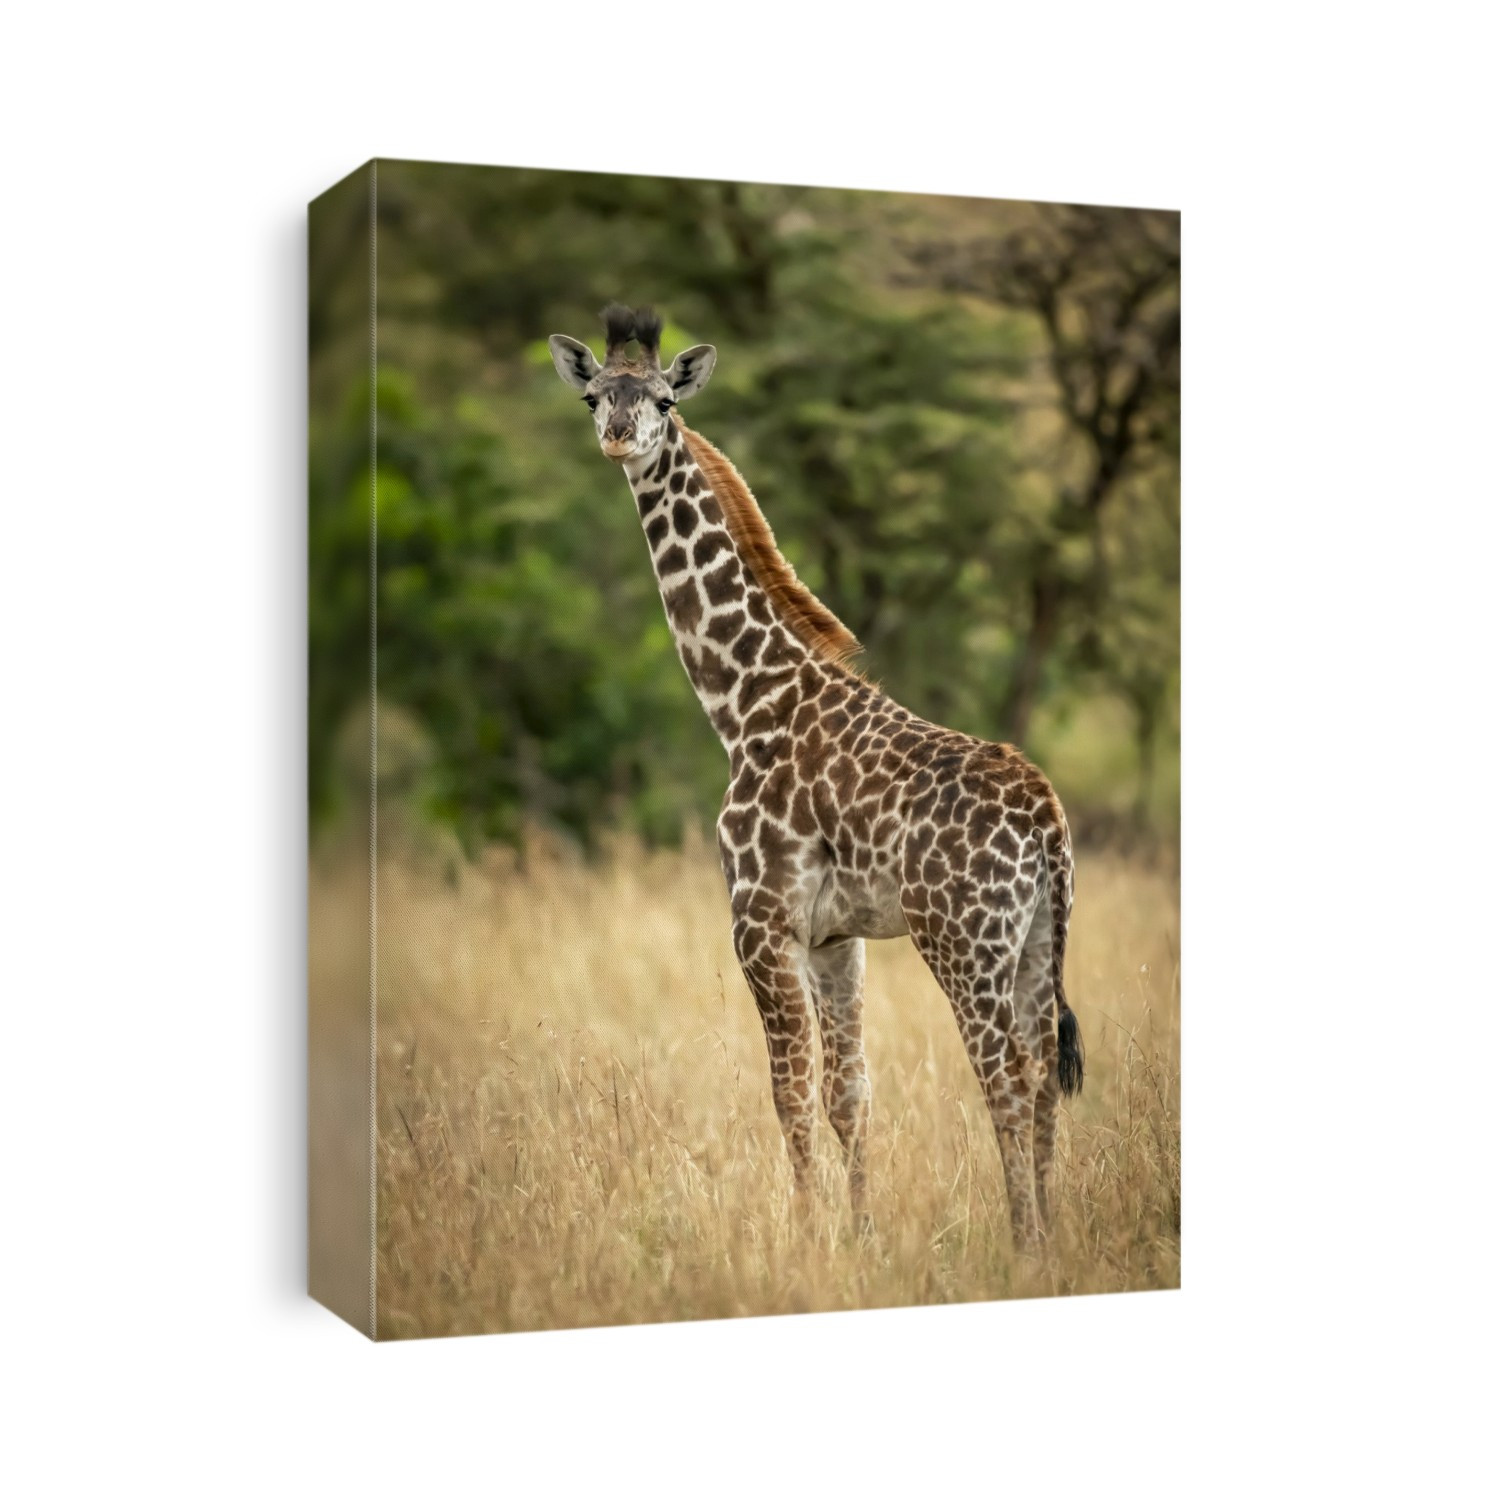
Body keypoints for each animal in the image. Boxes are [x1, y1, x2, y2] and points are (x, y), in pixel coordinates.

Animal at [549, 305, 1084, 1248]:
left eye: (661, 399)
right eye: (593, 394)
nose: (619, 438)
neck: (743, 699)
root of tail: (1046, 816)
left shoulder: (761, 922)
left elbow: (789, 1092)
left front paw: (805, 1239)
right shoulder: (838, 938)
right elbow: (849, 1093)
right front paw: (861, 1235)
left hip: (962, 942)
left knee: (1008, 1076)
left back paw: (1025, 1244)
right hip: (1035, 943)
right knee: (1040, 1073)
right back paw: (1049, 1240)